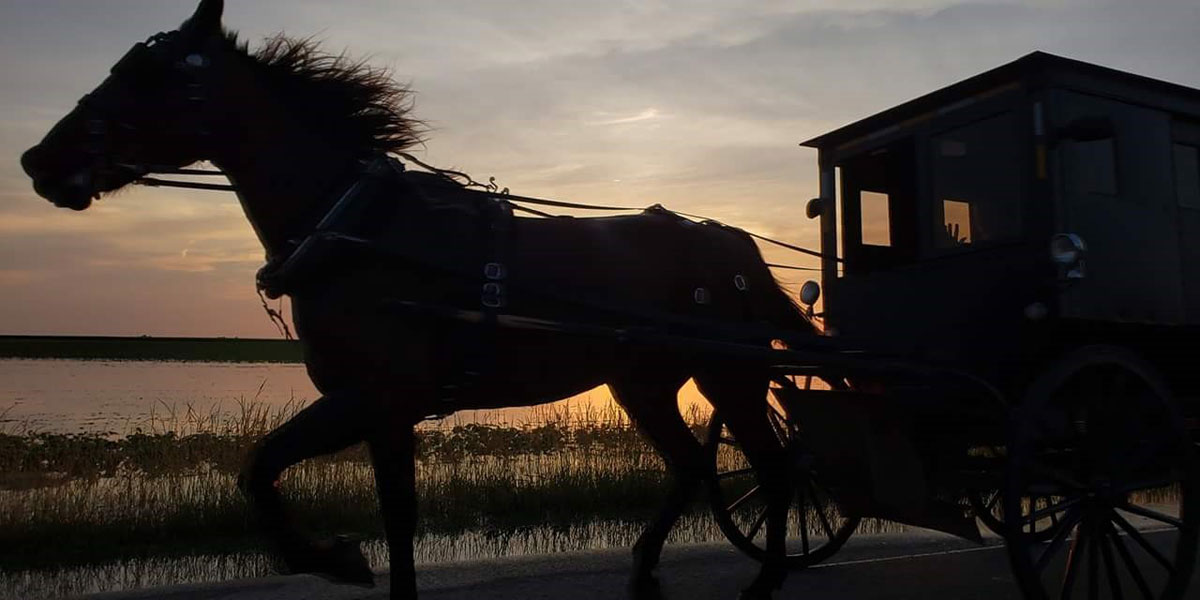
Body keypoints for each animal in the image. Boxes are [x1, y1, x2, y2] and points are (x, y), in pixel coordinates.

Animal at [21, 2, 816, 597]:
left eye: (143, 73)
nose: (38, 160)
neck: (357, 227)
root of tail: (733, 243)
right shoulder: (363, 403)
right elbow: (285, 479)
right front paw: (337, 558)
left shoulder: (380, 398)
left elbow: (360, 504)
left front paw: (339, 559)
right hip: (643, 384)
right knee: (691, 468)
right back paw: (647, 564)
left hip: (731, 376)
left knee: (775, 469)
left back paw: (766, 578)